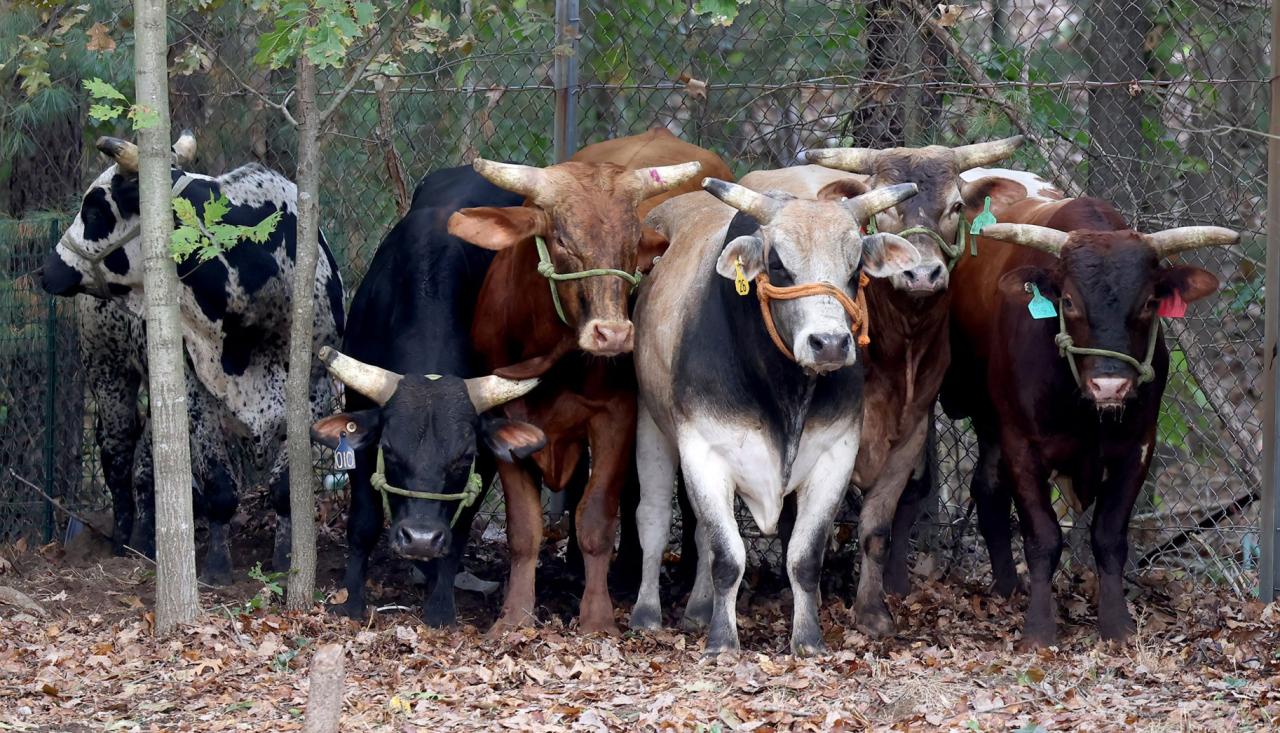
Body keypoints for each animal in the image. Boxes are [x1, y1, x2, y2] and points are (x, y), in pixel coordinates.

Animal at [41, 134, 345, 575]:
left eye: (95, 210)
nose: (48, 269)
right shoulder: (196, 396)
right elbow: (220, 489)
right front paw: (218, 565)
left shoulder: (315, 391)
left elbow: (284, 489)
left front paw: (286, 556)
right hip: (107, 370)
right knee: (117, 455)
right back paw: (122, 540)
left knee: (147, 462)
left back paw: (145, 540)